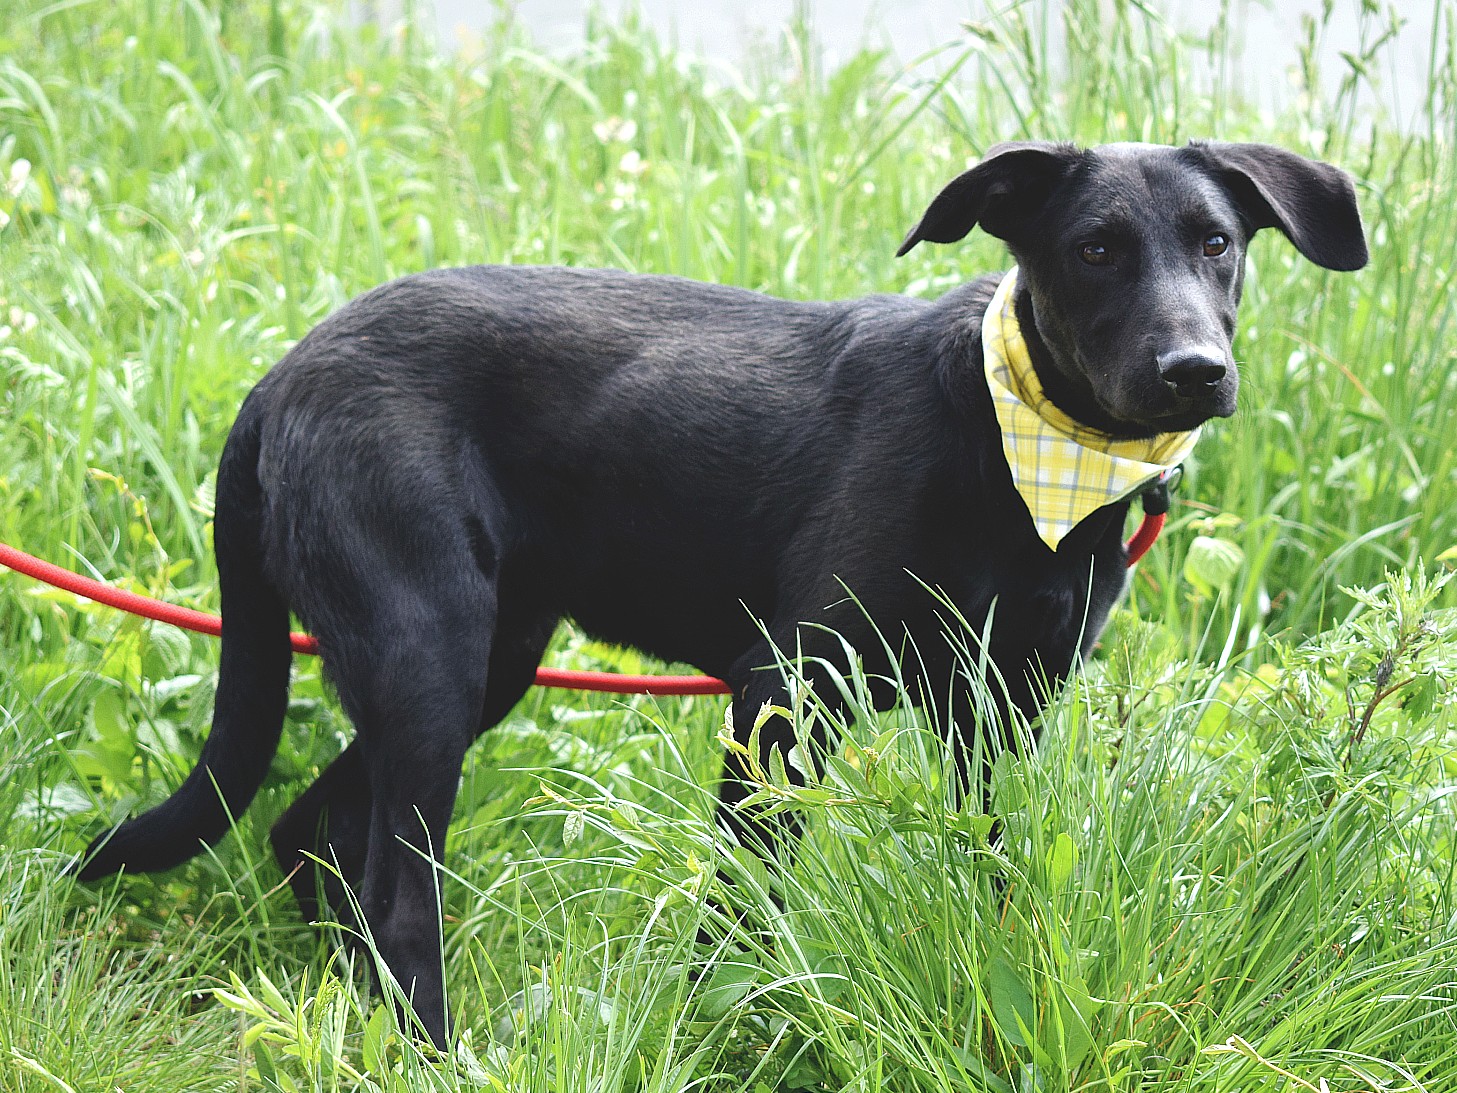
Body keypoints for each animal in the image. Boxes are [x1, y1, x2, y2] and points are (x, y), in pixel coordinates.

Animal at [75, 140, 1367, 1045]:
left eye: (1214, 242)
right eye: (1094, 248)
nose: (1192, 370)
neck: (1024, 453)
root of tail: (279, 379)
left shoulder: (1001, 712)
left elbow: (991, 881)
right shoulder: (785, 694)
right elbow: (742, 910)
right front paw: (726, 1028)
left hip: (478, 659)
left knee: (316, 829)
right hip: (428, 652)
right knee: (396, 893)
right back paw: (434, 1051)